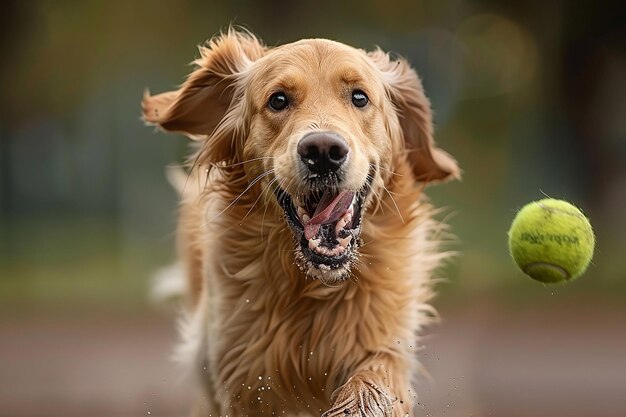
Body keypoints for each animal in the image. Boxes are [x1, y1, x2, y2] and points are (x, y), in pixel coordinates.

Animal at [141, 28, 458, 416]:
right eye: (278, 100)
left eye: (359, 97)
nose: (323, 152)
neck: (311, 286)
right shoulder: (241, 372)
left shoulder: (383, 338)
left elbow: (375, 379)